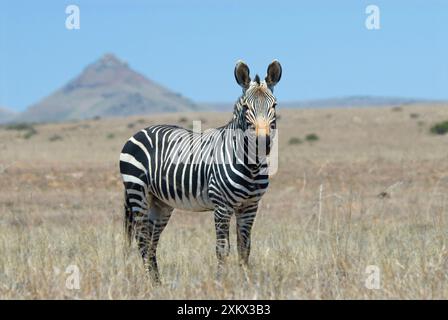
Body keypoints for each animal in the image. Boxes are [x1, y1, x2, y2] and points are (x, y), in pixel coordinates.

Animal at [119, 60, 280, 282]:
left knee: (152, 241)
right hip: (137, 192)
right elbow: (222, 249)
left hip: (160, 202)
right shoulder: (222, 206)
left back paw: (158, 283)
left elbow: (245, 248)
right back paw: (150, 283)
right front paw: (221, 282)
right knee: (142, 240)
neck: (251, 167)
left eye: (274, 105)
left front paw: (247, 282)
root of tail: (142, 130)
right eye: (246, 107)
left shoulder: (250, 206)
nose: (262, 143)